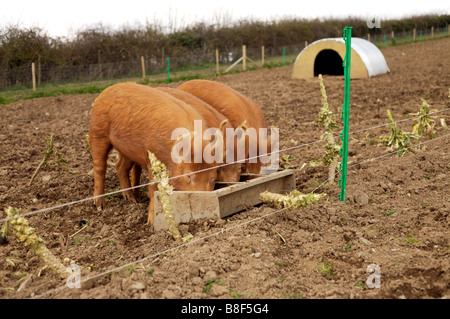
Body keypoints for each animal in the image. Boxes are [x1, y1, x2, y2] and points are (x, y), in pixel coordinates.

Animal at [89, 82, 218, 228]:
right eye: (189, 176)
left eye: (212, 177)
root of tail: (105, 91)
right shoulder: (152, 157)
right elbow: (153, 190)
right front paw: (151, 223)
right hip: (97, 132)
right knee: (99, 168)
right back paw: (100, 206)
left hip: (126, 149)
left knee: (120, 167)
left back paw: (132, 200)